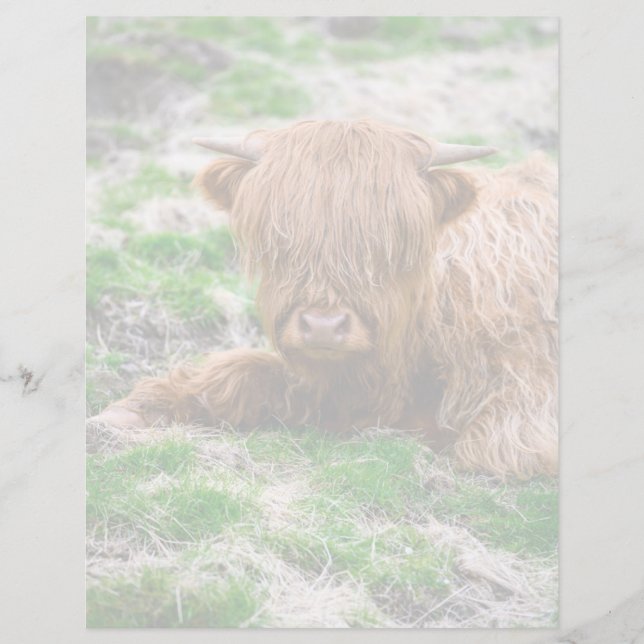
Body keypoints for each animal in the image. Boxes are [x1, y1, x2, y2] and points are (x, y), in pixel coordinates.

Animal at [96, 120, 558, 479]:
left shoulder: (524, 409)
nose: (322, 327)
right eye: (280, 241)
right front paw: (134, 411)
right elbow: (239, 372)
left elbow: (485, 449)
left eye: (390, 245)